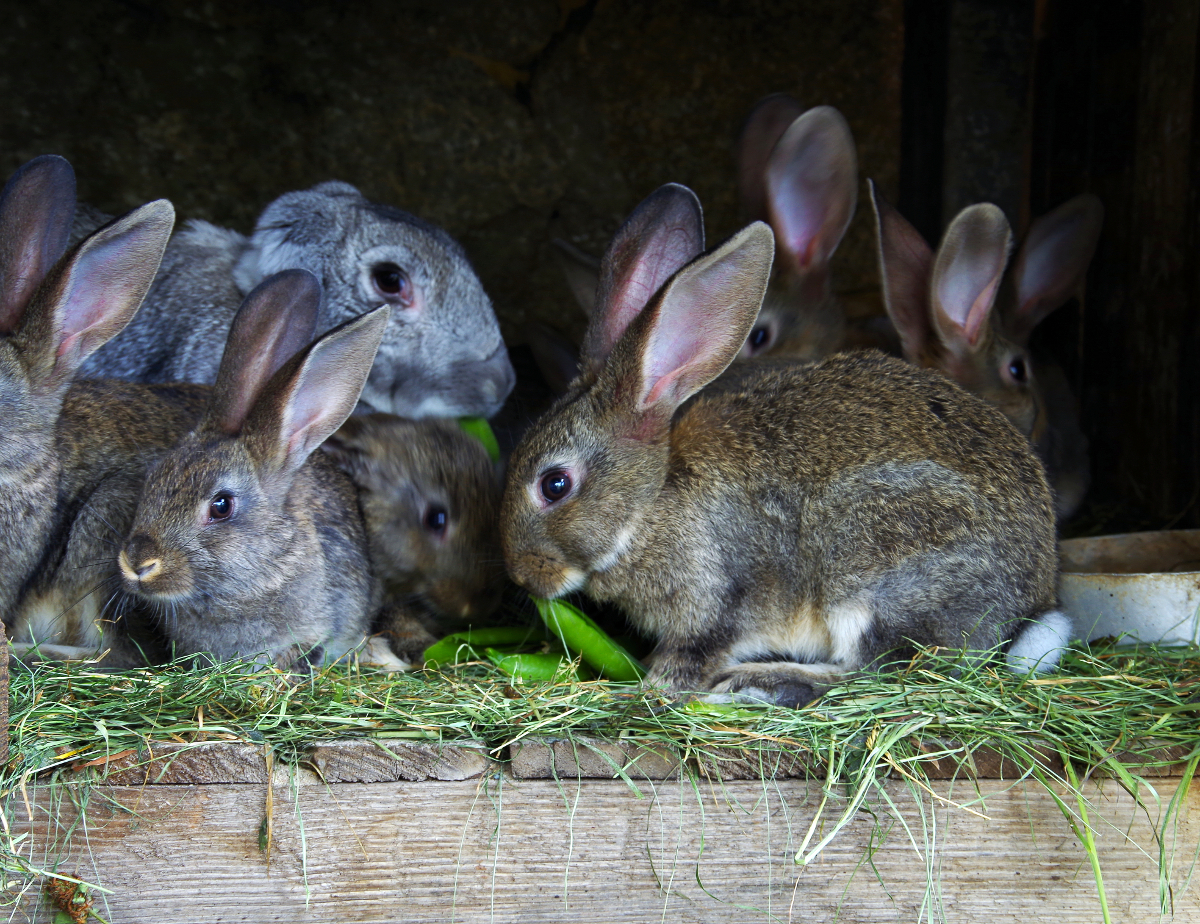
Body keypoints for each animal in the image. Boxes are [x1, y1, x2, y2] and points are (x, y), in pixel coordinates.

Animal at [496, 183, 1070, 710]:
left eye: (555, 484)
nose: (522, 575)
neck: (648, 503)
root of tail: (1031, 602)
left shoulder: (721, 595)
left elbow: (698, 651)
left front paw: (658, 685)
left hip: (872, 564)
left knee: (881, 676)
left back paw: (760, 681)